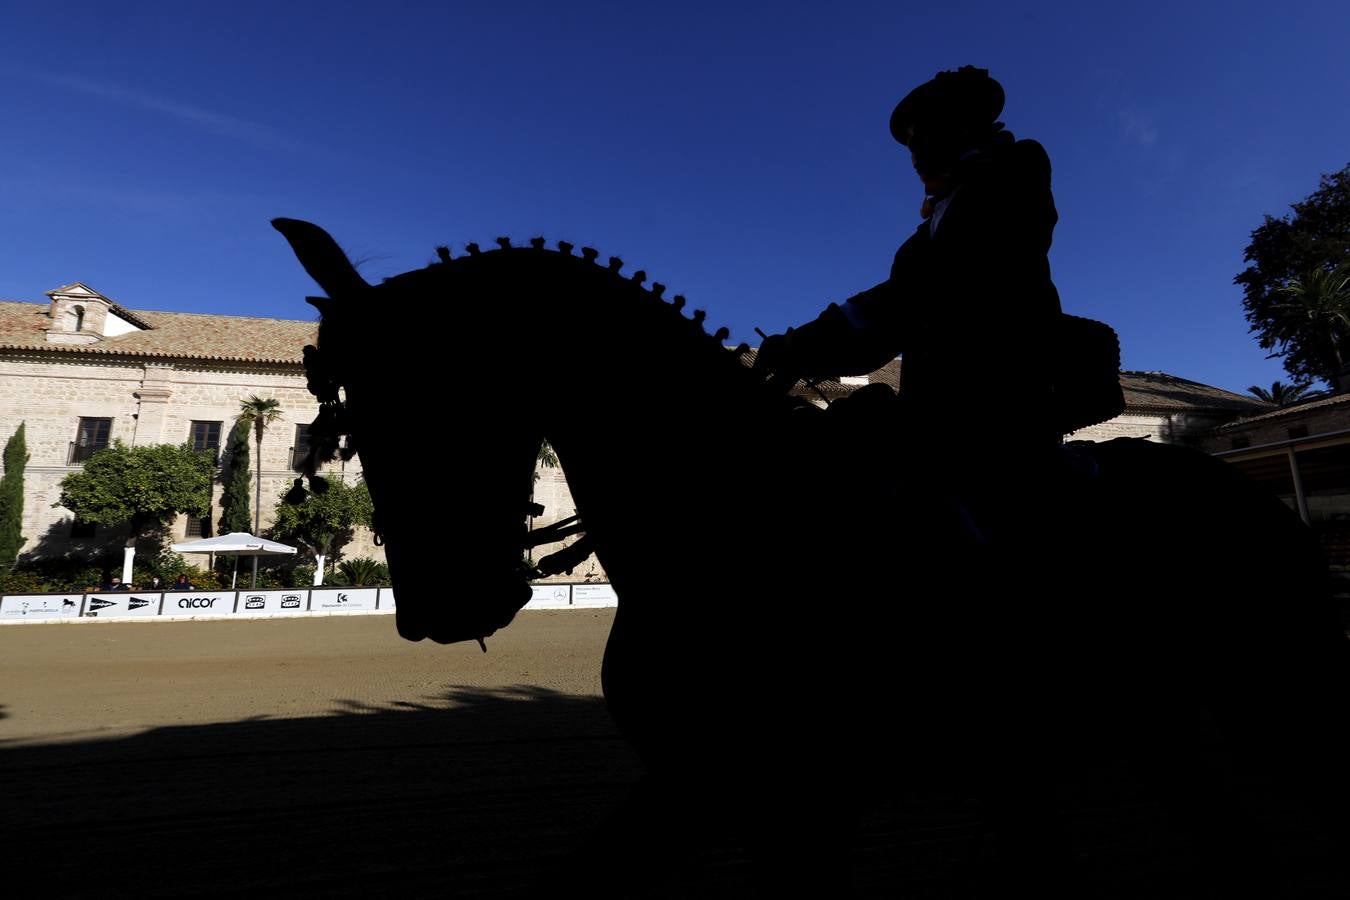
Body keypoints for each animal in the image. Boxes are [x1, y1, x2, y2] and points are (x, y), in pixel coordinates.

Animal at [276, 219, 1350, 900]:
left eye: (441, 394)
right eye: (348, 412)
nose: (441, 604)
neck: (734, 518)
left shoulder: (790, 800)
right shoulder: (713, 792)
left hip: (1270, 707)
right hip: (1147, 729)